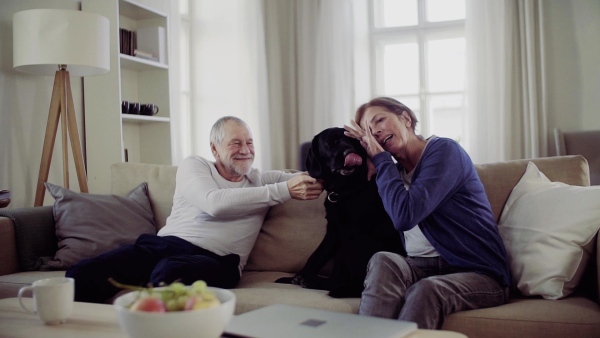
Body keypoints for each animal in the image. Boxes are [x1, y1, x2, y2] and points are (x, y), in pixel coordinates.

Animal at [278, 128, 408, 298]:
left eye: (354, 142)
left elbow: (340, 266)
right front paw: (299, 276)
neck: (346, 189)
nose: (351, 153)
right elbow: (317, 255)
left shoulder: (353, 234)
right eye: (332, 142)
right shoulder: (334, 231)